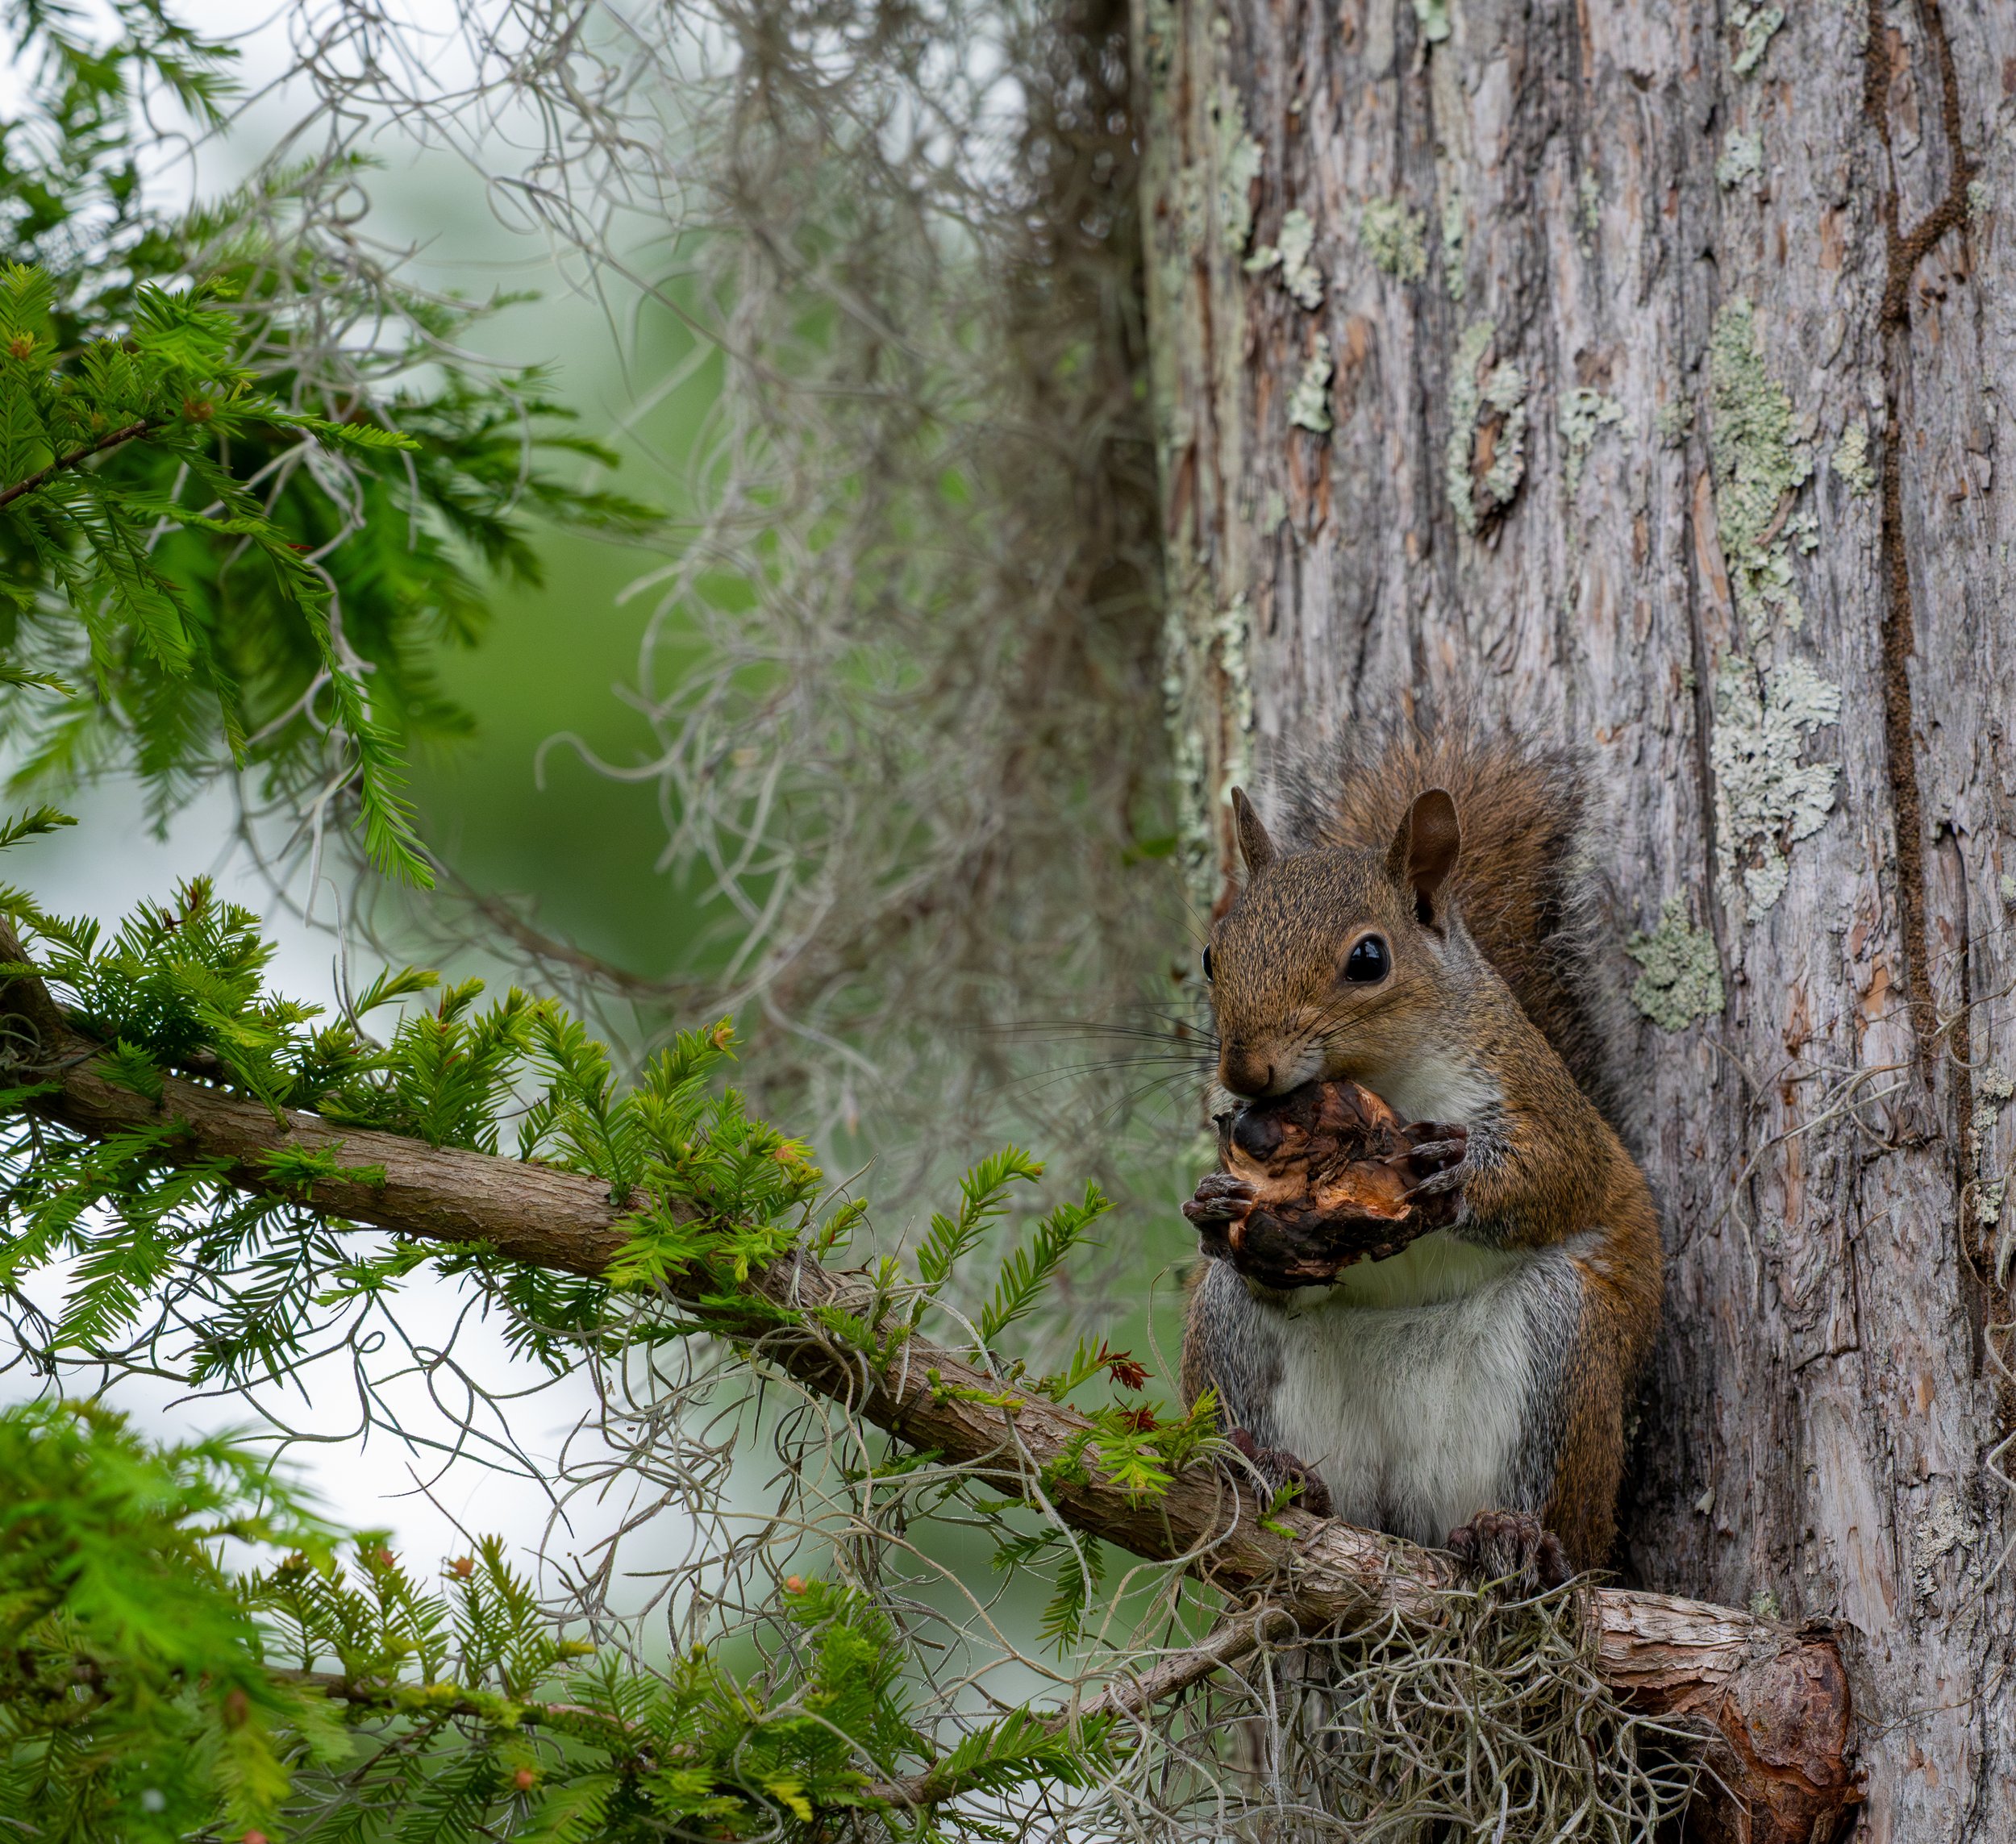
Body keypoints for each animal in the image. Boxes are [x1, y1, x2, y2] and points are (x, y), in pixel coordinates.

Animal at [1178, 727, 1663, 1580]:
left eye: (1369, 959)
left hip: (1564, 1351)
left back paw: (1518, 1538)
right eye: (1213, 954)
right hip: (1229, 1331)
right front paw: (1213, 1204)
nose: (1242, 1072)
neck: (1381, 1083)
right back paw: (1270, 1473)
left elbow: (1557, 1174)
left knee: (1559, 1523)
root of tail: (1402, 1515)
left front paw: (1455, 1178)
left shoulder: (1538, 1099)